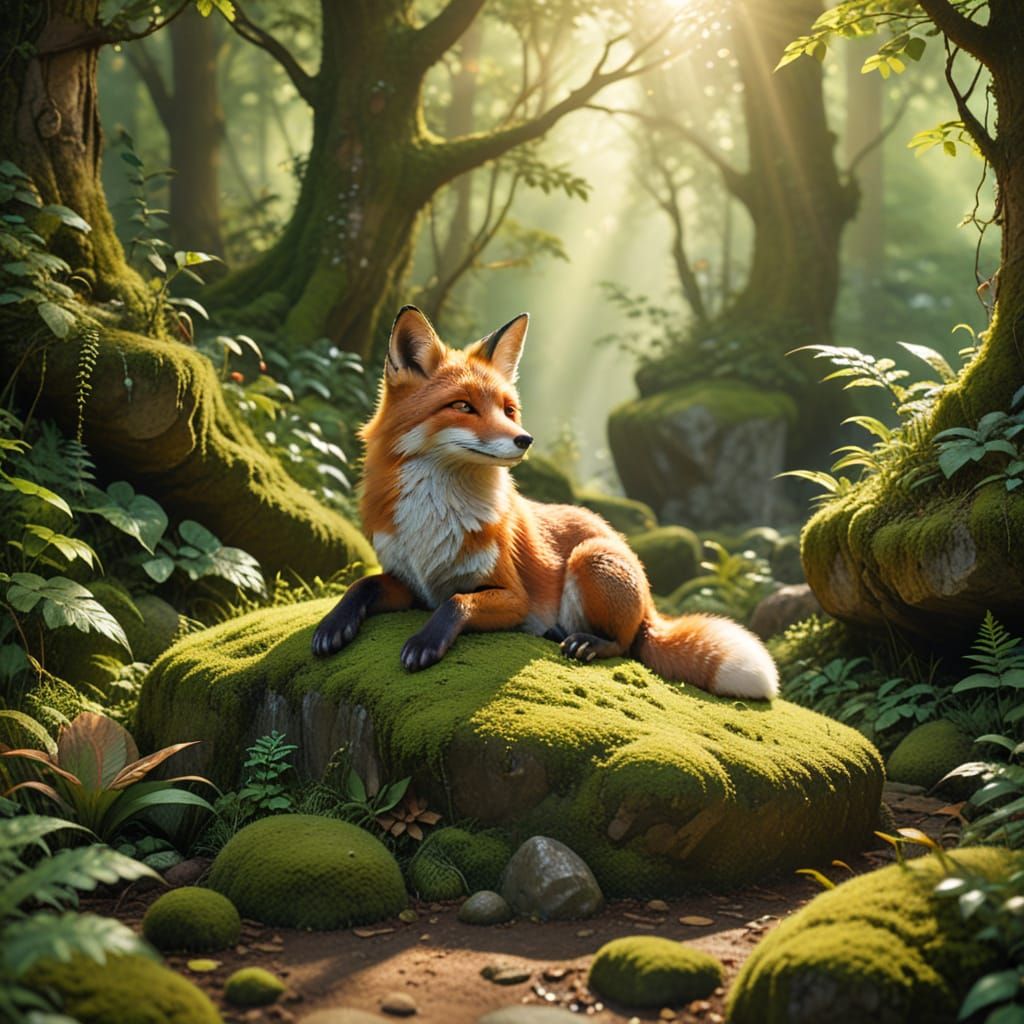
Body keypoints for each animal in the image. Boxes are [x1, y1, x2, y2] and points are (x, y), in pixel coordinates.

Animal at [312, 305, 779, 700]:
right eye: (462, 406)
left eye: (508, 410)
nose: (525, 439)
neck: (435, 514)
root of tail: (649, 601)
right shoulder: (411, 583)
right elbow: (363, 584)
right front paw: (334, 624)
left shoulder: (512, 597)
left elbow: (457, 601)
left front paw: (426, 641)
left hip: (591, 558)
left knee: (629, 644)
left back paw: (587, 643)